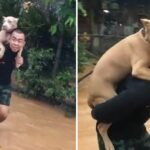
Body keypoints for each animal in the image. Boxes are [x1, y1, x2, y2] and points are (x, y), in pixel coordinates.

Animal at [87, 18, 150, 150]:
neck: (145, 38)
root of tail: (89, 97)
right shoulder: (138, 68)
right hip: (110, 101)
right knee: (101, 127)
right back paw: (109, 145)